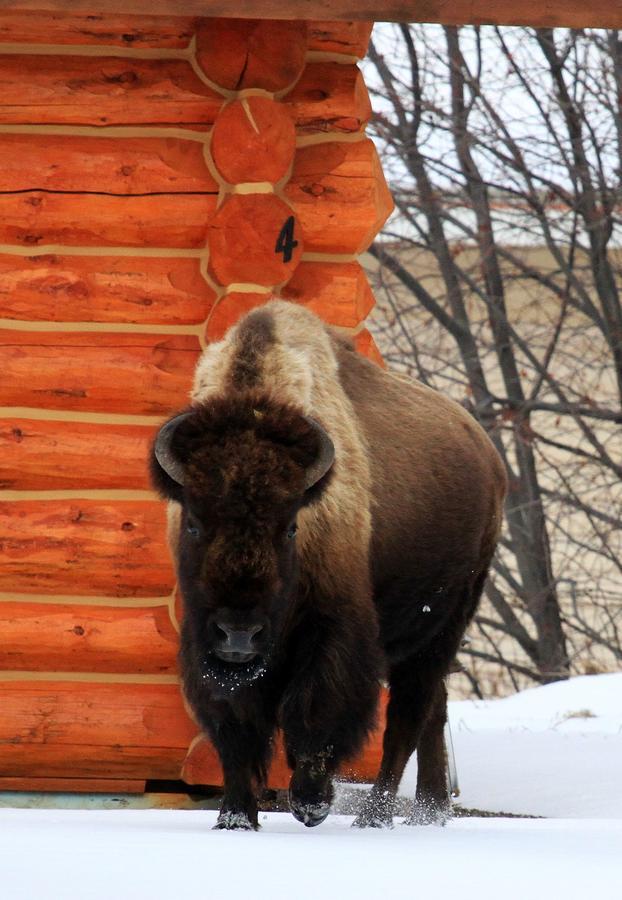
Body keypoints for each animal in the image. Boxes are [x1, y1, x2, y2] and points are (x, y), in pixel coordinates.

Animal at [151, 302, 508, 828]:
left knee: (406, 718)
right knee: (432, 711)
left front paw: (311, 803)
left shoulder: (334, 628)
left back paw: (376, 817)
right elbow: (234, 732)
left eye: (290, 526)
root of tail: (490, 459)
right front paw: (234, 818)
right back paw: (429, 811)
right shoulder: (205, 644)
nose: (240, 635)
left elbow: (316, 712)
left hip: (443, 628)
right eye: (194, 522)